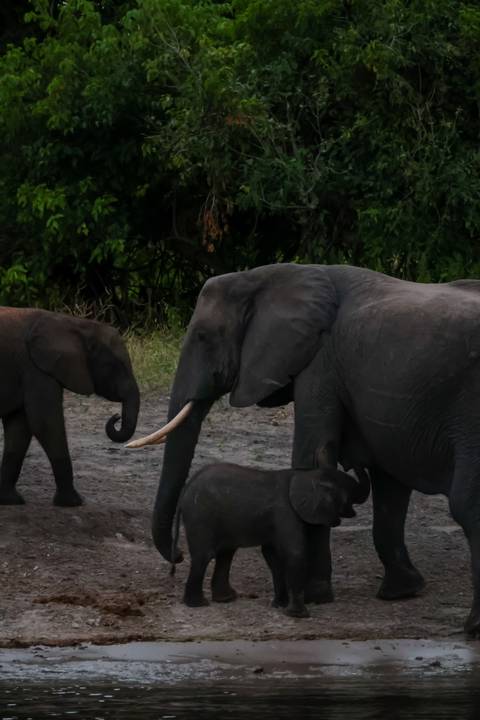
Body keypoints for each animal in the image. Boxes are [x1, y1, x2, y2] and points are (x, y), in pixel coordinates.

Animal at [0, 307, 139, 507]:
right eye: (115, 366)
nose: (116, 417)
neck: (75, 325)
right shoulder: (35, 369)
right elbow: (45, 424)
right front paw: (73, 502)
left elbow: (19, 428)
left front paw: (10, 500)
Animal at [171, 461, 370, 617]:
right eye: (348, 493)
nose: (353, 462)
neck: (305, 475)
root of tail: (186, 488)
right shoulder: (285, 512)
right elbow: (294, 553)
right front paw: (298, 615)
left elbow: (272, 555)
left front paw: (280, 606)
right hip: (200, 515)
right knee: (205, 555)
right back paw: (198, 604)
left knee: (225, 553)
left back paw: (225, 599)